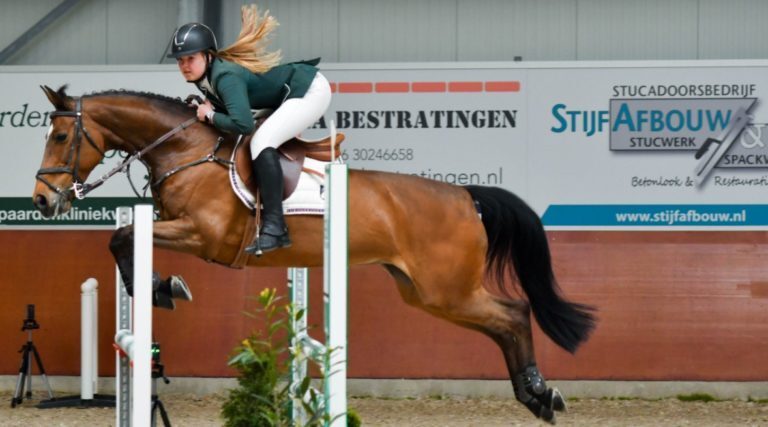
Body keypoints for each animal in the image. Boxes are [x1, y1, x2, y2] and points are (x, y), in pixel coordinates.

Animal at [31, 84, 592, 424]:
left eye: (59, 135)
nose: (41, 201)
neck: (185, 151)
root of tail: (465, 196)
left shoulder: (201, 235)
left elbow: (123, 238)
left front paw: (162, 288)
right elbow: (123, 239)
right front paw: (160, 286)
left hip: (447, 290)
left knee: (513, 313)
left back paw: (541, 395)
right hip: (423, 293)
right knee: (503, 321)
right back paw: (536, 396)